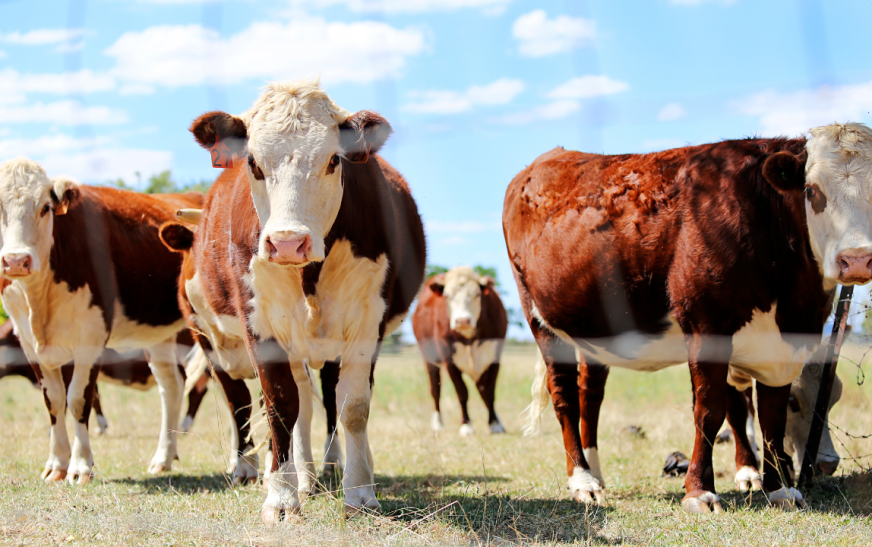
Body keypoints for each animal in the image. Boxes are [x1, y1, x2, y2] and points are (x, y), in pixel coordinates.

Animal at [0, 160, 203, 484]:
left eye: (45, 207)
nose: (16, 261)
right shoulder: (27, 341)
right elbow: (53, 401)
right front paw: (56, 465)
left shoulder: (92, 336)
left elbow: (79, 399)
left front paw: (80, 466)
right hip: (158, 337)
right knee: (171, 386)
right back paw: (163, 457)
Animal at [179, 79, 426, 521]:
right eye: (253, 162)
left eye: (333, 160)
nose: (288, 243)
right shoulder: (260, 325)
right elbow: (281, 406)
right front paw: (281, 497)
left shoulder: (367, 322)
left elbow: (353, 406)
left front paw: (360, 492)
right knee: (296, 407)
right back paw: (299, 477)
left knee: (328, 399)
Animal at [412, 266, 508, 436]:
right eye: (447, 296)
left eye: (477, 294)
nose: (462, 321)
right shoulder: (450, 362)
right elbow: (462, 393)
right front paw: (466, 425)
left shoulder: (494, 358)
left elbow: (489, 392)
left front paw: (495, 424)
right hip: (429, 359)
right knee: (435, 390)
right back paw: (438, 423)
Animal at [504, 123, 872, 513]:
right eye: (811, 190)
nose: (857, 259)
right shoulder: (707, 326)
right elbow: (711, 410)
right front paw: (700, 491)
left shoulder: (781, 345)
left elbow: (769, 416)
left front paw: (779, 488)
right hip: (540, 321)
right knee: (565, 398)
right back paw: (582, 480)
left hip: (593, 328)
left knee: (590, 396)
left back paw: (596, 473)